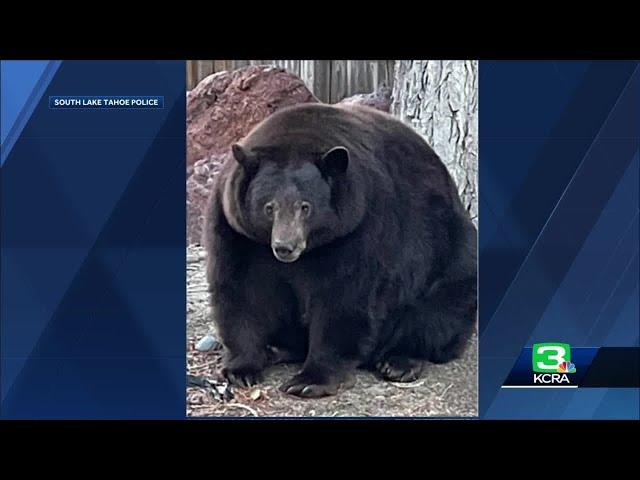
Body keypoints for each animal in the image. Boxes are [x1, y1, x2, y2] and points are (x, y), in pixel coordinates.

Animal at [205, 102, 476, 398]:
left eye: (305, 206)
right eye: (269, 207)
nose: (285, 247)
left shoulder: (360, 225)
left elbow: (344, 297)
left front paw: (309, 380)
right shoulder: (237, 231)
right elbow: (242, 289)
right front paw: (241, 369)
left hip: (448, 255)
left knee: (438, 312)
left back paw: (399, 361)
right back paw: (277, 349)